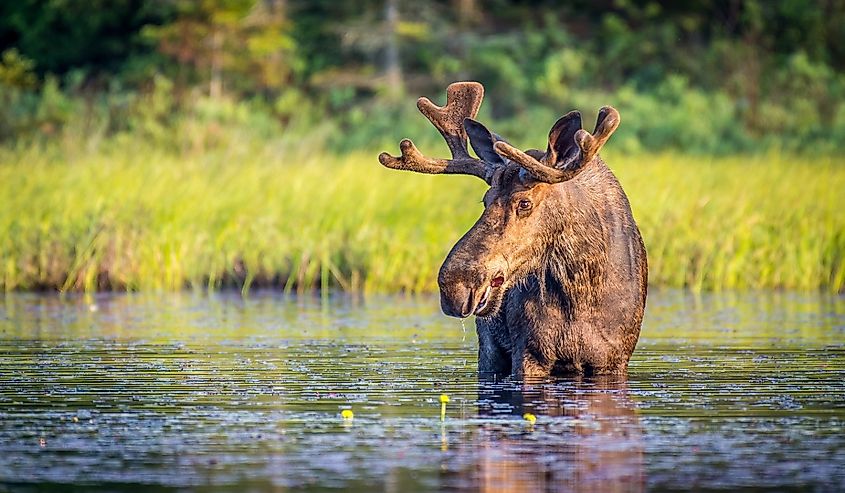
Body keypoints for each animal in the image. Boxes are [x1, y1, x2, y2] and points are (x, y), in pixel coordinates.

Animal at [380, 81, 648, 376]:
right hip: (489, 349)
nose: (454, 286)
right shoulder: (528, 353)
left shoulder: (613, 360)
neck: (582, 290)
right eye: (485, 200)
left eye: (524, 202)